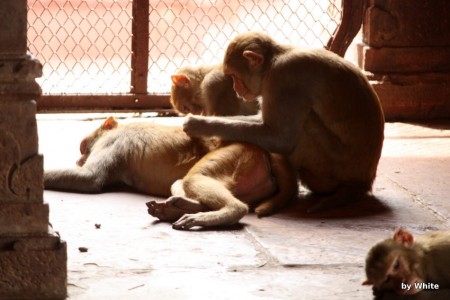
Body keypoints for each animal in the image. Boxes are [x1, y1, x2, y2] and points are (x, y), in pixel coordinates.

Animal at [44, 116, 298, 229]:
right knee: (180, 182)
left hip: (240, 156)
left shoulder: (113, 141)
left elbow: (91, 178)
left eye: (83, 148)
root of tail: (263, 150)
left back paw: (220, 213)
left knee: (195, 179)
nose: (78, 160)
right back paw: (179, 208)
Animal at [181, 31, 384, 212]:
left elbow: (279, 137)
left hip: (331, 170)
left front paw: (199, 125)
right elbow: (263, 122)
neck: (271, 64)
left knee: (305, 123)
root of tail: (365, 181)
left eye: (233, 76)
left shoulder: (285, 79)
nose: (236, 89)